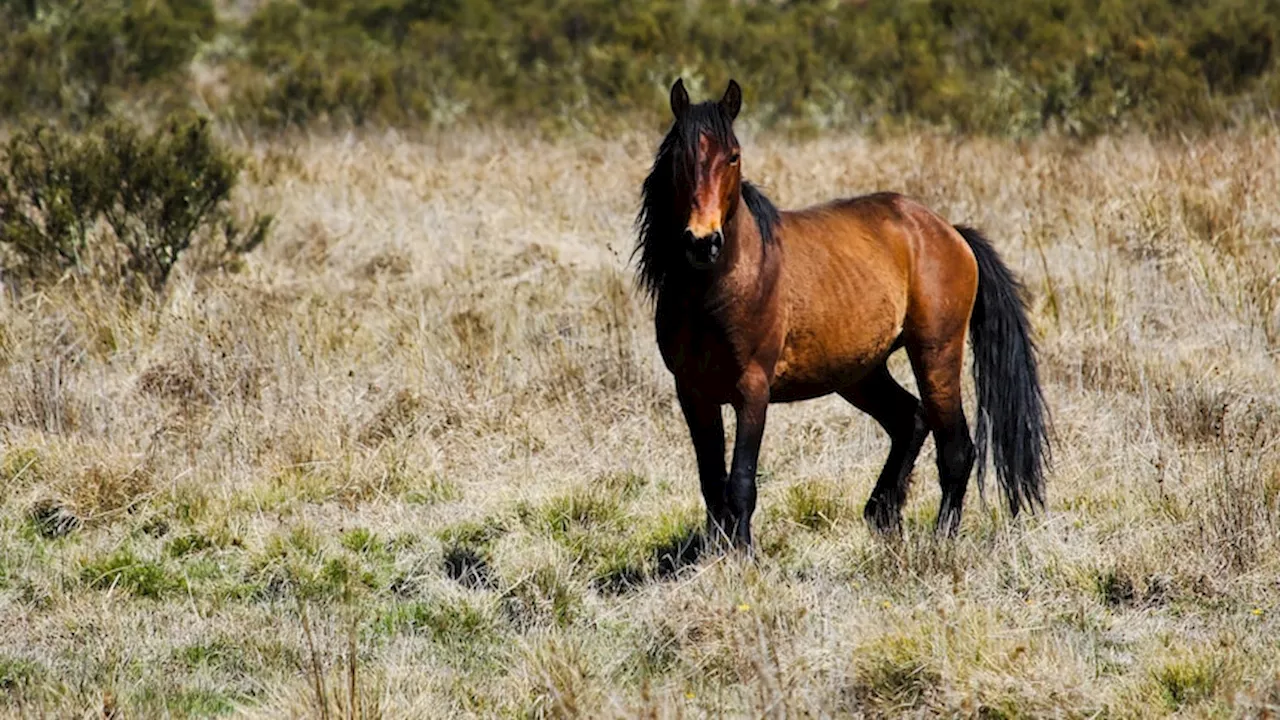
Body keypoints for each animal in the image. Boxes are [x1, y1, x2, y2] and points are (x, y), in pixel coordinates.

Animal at [637, 78, 1049, 545]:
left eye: (733, 156)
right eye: (679, 158)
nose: (703, 242)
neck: (719, 287)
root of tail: (948, 231)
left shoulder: (752, 390)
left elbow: (741, 482)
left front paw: (743, 554)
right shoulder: (693, 393)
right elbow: (712, 483)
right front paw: (718, 550)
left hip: (936, 354)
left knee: (957, 447)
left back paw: (941, 537)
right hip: (861, 372)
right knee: (910, 420)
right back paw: (882, 515)